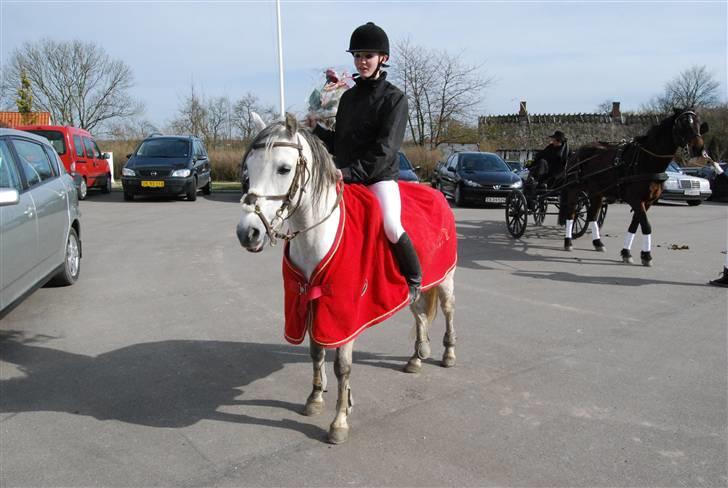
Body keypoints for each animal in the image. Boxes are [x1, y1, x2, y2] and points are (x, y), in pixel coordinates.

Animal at [235, 113, 457, 444]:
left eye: (284, 168)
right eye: (248, 170)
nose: (247, 233)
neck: (318, 234)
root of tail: (436, 193)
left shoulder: (343, 316)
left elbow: (342, 367)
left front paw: (339, 420)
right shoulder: (309, 301)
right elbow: (316, 352)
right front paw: (315, 399)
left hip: (445, 280)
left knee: (448, 310)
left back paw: (448, 353)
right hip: (414, 290)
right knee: (419, 315)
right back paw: (417, 357)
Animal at [560, 108, 708, 266]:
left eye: (698, 123)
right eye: (682, 124)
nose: (698, 148)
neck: (645, 160)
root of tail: (577, 152)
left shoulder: (647, 202)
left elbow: (635, 225)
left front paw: (627, 252)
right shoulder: (636, 200)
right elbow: (646, 225)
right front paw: (647, 255)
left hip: (597, 192)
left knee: (592, 216)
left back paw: (598, 243)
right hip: (574, 190)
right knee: (571, 214)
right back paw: (568, 242)